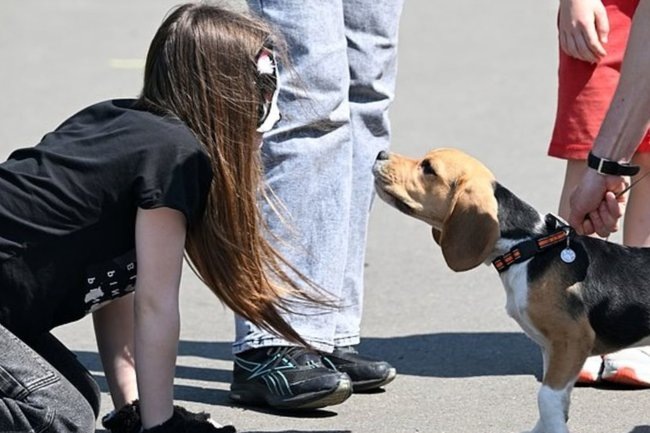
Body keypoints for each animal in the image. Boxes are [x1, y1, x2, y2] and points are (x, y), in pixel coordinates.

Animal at [372, 148, 648, 432]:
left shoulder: (571, 339)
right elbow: (555, 406)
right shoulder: (552, 349)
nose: (381, 153)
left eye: (428, 168)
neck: (526, 247)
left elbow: (546, 398)